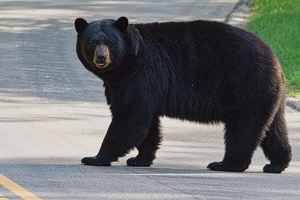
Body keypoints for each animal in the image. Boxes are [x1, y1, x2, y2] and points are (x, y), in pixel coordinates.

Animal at [74, 16, 292, 173]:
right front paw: (139, 159)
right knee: (274, 129)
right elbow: (147, 123)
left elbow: (130, 116)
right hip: (267, 95)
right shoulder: (139, 83)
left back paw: (226, 164)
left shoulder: (141, 74)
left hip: (246, 87)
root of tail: (277, 62)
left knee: (243, 128)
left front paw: (95, 158)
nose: (101, 58)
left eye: (110, 42)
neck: (128, 62)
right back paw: (277, 163)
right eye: (92, 42)